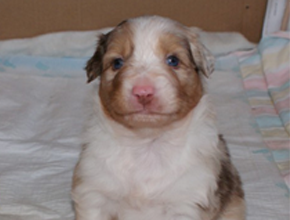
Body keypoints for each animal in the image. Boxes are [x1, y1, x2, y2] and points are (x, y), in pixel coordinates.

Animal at [72, 15, 245, 220]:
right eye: (117, 63)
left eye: (173, 60)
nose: (143, 92)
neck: (147, 142)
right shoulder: (93, 192)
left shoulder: (187, 201)